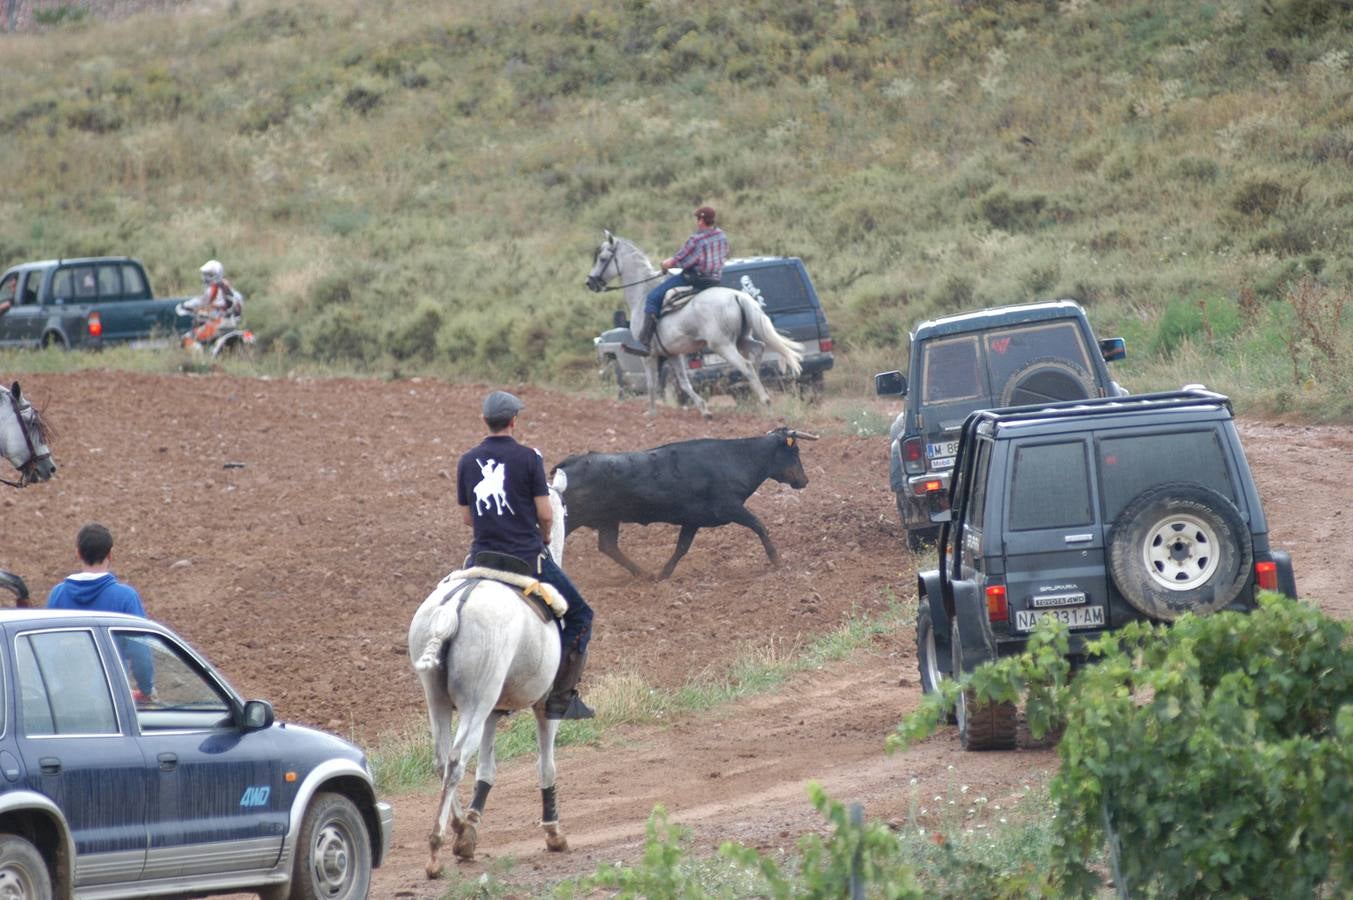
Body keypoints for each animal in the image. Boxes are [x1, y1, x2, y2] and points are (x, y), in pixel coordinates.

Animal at [403, 487, 568, 871]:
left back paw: (458, 827)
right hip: (475, 704)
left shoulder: (494, 709)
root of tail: (453, 608)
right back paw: (436, 846)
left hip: (441, 700)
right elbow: (546, 765)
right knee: (455, 760)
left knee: (441, 759)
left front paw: (472, 826)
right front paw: (553, 831)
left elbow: (487, 768)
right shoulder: (544, 706)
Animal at [549, 427, 811, 579]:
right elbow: (759, 526)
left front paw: (664, 574)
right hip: (573, 518)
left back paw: (644, 574)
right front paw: (776, 560)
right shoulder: (731, 508)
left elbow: (681, 548)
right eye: (796, 452)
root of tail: (571, 462)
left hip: (609, 520)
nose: (804, 480)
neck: (735, 458)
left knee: (608, 546)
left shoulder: (692, 521)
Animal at [584, 230, 800, 416]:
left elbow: (652, 383)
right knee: (757, 352)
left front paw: (651, 412)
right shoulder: (673, 353)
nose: (590, 282)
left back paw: (765, 401)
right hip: (742, 339)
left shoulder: (649, 355)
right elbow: (684, 382)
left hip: (723, 345)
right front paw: (704, 410)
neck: (643, 294)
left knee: (746, 365)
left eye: (602, 258)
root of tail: (737, 296)